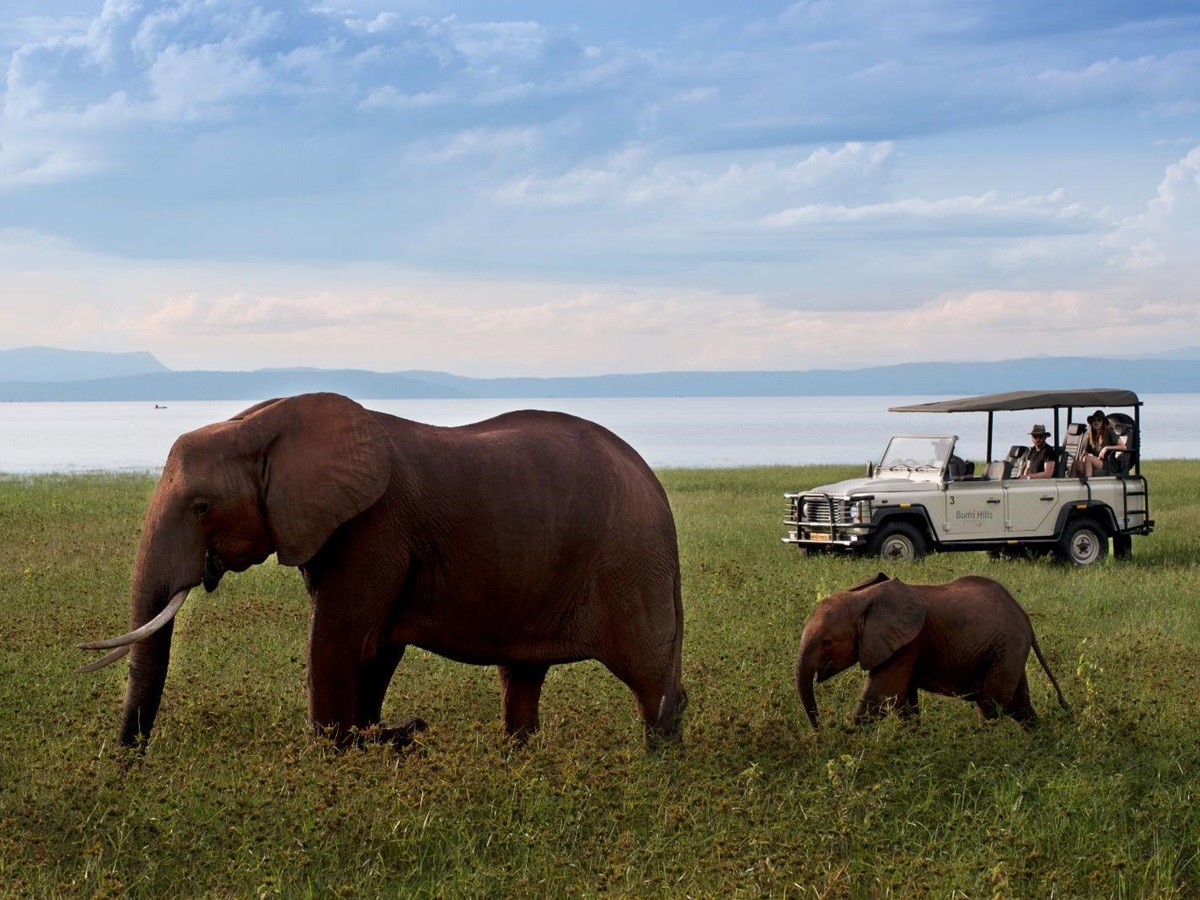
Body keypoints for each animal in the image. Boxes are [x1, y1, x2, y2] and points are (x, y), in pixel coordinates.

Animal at [79, 392, 686, 751]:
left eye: (201, 507)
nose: (130, 761)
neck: (260, 423)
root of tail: (656, 486)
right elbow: (375, 646)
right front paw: (373, 742)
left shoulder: (375, 528)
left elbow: (339, 637)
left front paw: (336, 756)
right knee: (522, 677)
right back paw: (519, 758)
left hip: (630, 564)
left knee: (649, 677)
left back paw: (660, 767)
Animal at [795, 573, 1068, 730]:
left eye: (827, 641)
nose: (821, 731)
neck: (864, 597)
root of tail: (1026, 618)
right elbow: (902, 700)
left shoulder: (908, 643)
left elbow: (883, 694)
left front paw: (845, 739)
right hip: (1009, 650)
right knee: (1018, 704)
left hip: (1006, 647)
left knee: (993, 704)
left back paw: (983, 741)